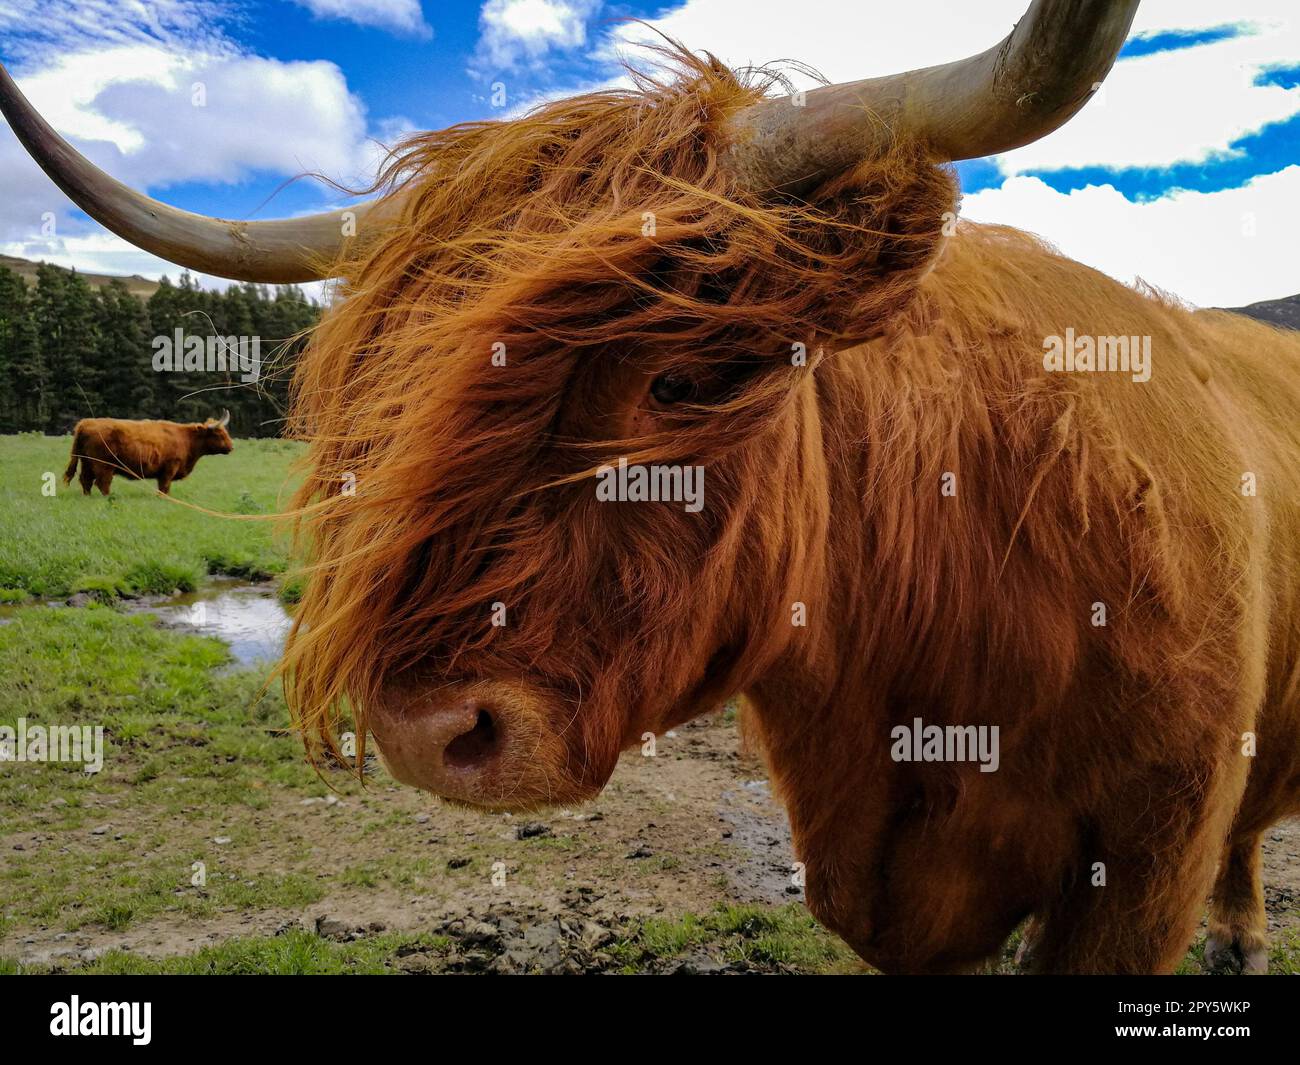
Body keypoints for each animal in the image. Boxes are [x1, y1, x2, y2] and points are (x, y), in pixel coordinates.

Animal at [63, 412, 234, 496]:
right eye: (218, 434)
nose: (231, 447)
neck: (186, 438)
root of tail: (85, 423)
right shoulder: (170, 467)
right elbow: (164, 486)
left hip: (87, 463)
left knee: (86, 480)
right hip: (103, 465)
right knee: (102, 483)